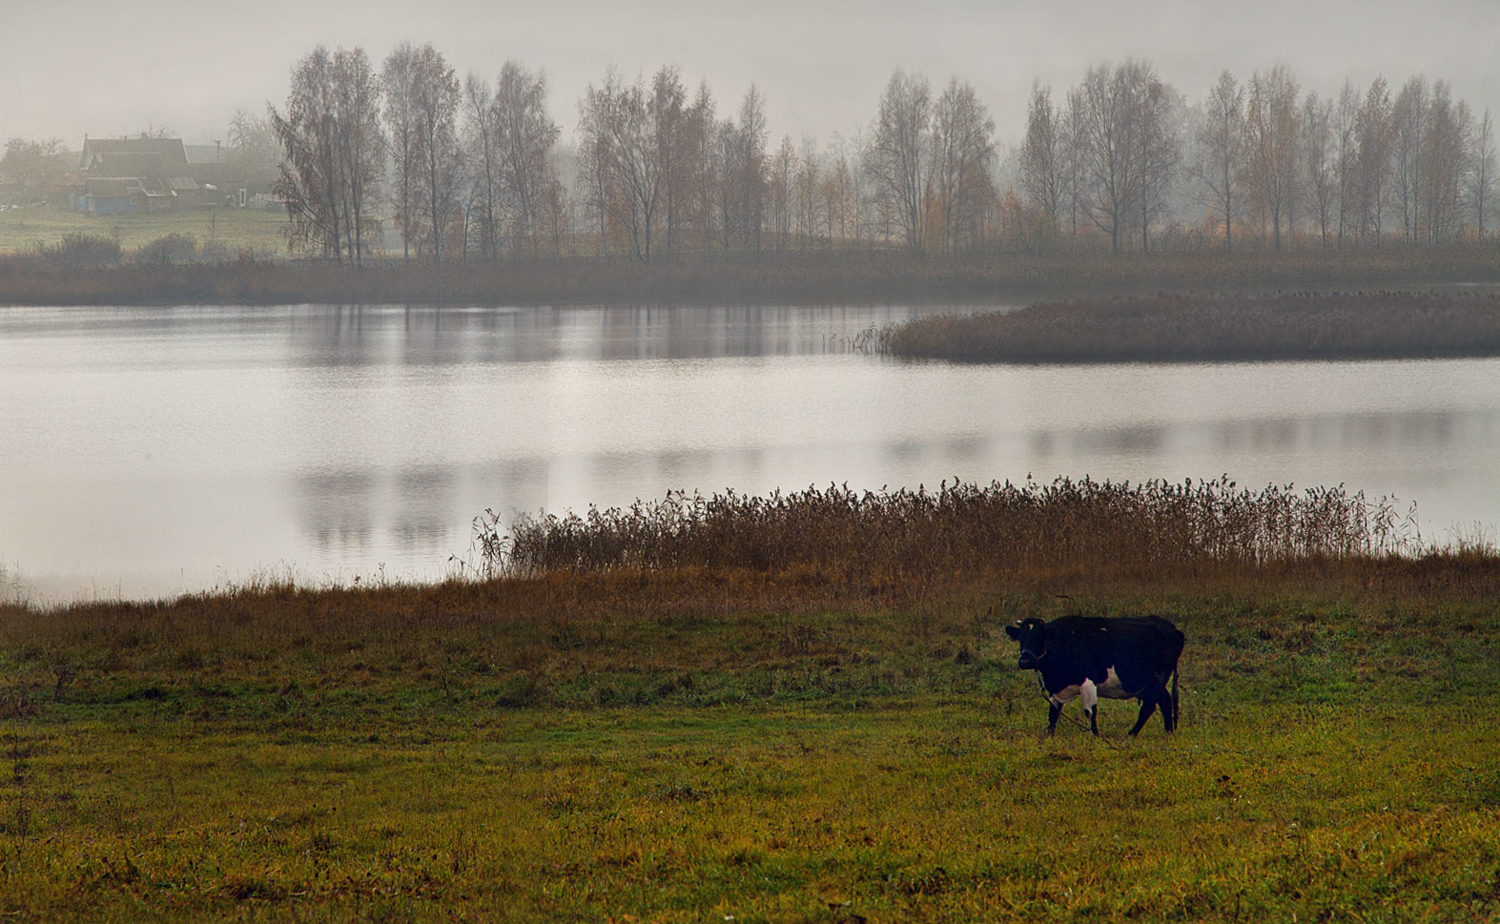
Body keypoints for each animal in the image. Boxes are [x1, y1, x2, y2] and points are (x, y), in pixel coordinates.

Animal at [1008, 615, 1182, 735]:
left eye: (1039, 638)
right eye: (1021, 639)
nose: (1024, 661)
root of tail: (1173, 628)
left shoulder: (1088, 680)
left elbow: (1090, 711)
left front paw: (1095, 735)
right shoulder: (1056, 688)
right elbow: (1053, 713)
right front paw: (1049, 735)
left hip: (1157, 678)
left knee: (1157, 703)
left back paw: (1142, 733)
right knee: (1160, 702)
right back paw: (1163, 732)